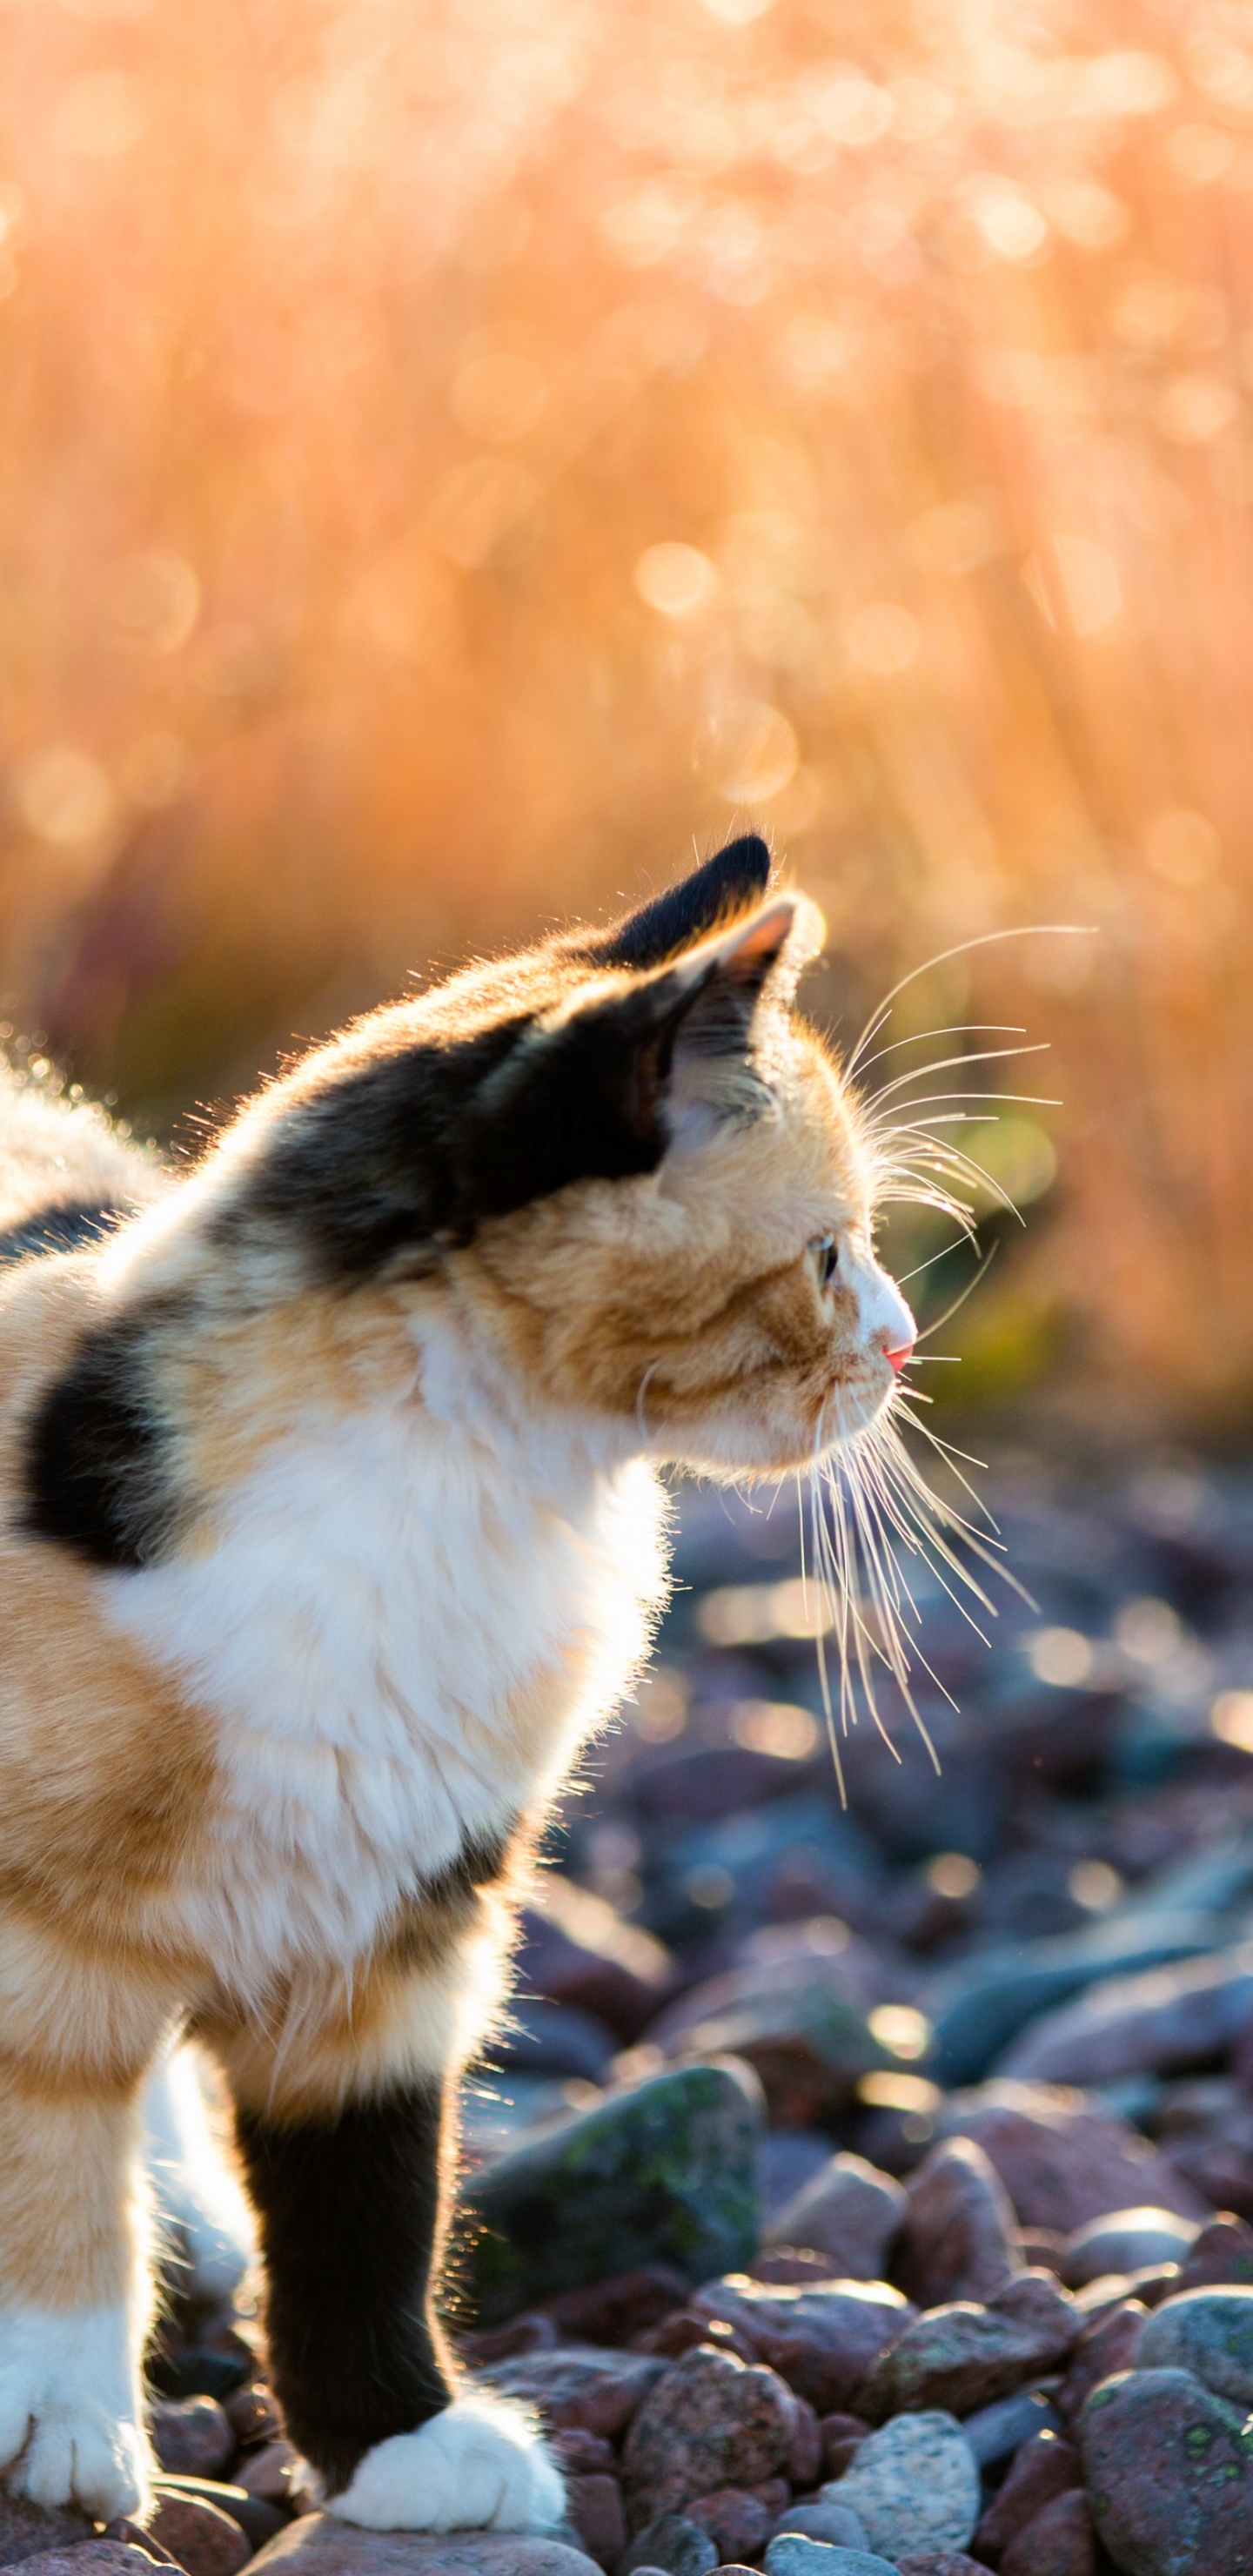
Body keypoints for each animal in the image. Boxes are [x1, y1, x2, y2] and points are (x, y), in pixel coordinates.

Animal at [0, 829, 912, 2534]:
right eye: (831, 1253)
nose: (900, 1345)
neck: (457, 1495)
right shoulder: (36, 1932)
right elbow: (45, 2180)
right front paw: (58, 2428)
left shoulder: (402, 1928)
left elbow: (367, 2208)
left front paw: (394, 2441)